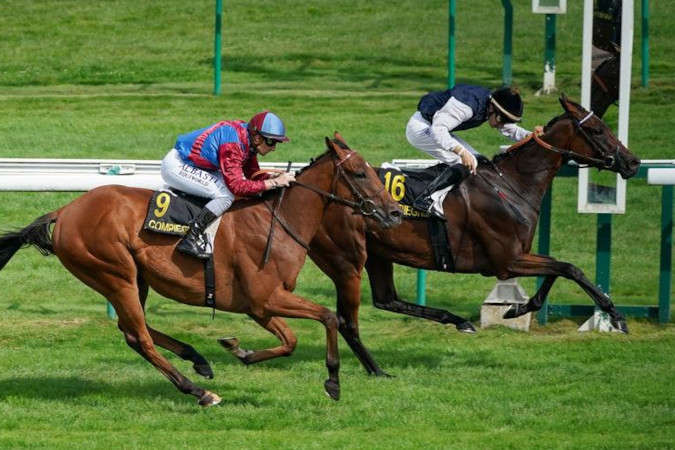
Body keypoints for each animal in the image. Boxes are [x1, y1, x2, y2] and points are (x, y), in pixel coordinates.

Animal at [0, 137, 402, 405]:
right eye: (359, 173)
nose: (395, 212)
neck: (278, 220)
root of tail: (65, 210)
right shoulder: (265, 298)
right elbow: (328, 317)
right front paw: (333, 382)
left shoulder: (259, 306)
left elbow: (290, 341)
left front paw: (241, 351)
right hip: (114, 274)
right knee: (139, 337)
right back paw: (199, 391)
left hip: (134, 278)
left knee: (132, 330)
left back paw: (199, 360)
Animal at [308, 95, 640, 376]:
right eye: (597, 130)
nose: (633, 162)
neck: (510, 185)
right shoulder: (507, 261)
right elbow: (569, 268)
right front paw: (615, 315)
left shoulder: (518, 256)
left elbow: (557, 269)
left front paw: (518, 308)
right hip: (347, 260)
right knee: (348, 319)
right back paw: (378, 368)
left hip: (378, 253)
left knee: (386, 300)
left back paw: (457, 321)